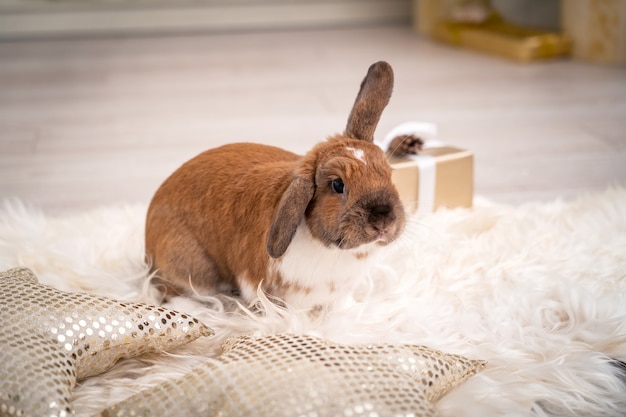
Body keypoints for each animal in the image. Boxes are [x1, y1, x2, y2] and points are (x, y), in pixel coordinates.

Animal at [146, 61, 408, 308]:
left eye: (388, 173)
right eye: (337, 185)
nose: (384, 220)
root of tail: (148, 242)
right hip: (193, 269)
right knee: (171, 291)